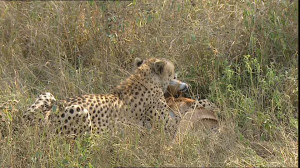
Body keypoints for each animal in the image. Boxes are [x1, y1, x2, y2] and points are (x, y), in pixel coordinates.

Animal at [23, 57, 183, 136]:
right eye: (172, 73)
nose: (178, 77)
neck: (142, 76)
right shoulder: (166, 127)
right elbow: (177, 121)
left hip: (47, 95)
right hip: (79, 111)